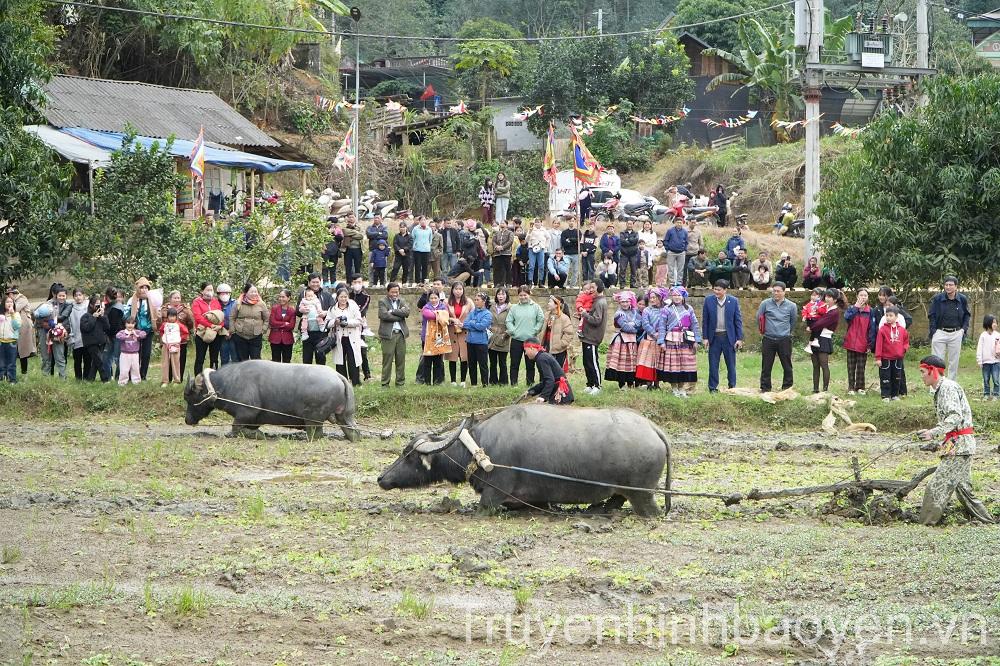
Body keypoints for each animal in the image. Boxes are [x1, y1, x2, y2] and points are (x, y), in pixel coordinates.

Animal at [184, 358, 360, 440]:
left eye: (190, 396)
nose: (187, 420)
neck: (226, 383)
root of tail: (338, 376)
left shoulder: (246, 413)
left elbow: (235, 429)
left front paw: (258, 435)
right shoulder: (253, 418)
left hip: (313, 418)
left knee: (315, 434)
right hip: (345, 416)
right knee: (353, 431)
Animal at [378, 402, 676, 516]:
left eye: (407, 455)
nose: (381, 478)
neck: (481, 450)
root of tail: (653, 429)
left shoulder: (493, 496)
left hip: (642, 495)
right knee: (614, 500)